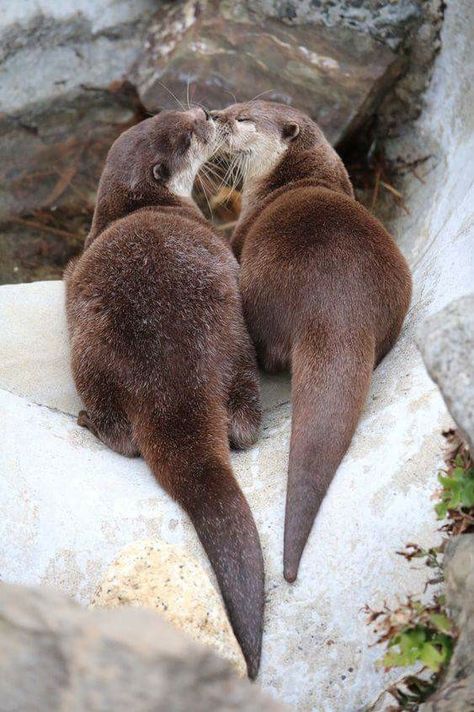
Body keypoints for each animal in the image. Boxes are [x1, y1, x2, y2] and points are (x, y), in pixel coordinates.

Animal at [64, 107, 262, 680]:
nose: (207, 113)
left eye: (181, 117)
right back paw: (89, 420)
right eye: (189, 133)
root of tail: (175, 387)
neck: (134, 206)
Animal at [211, 103, 412, 588]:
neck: (293, 180)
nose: (214, 114)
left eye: (243, 118)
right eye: (235, 108)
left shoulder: (241, 231)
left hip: (262, 287)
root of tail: (337, 306)